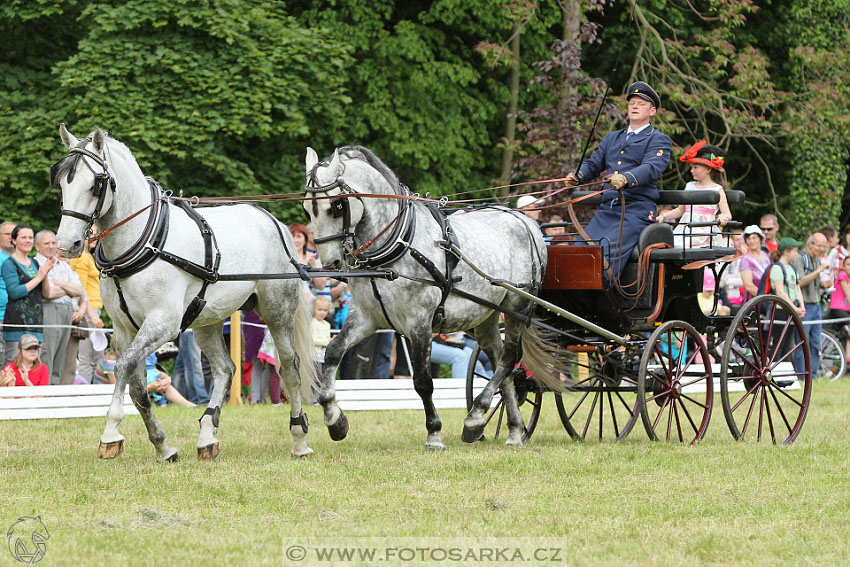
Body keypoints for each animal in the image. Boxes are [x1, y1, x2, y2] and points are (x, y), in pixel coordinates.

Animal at [53, 124, 318, 462]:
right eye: (62, 182)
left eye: (95, 185)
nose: (65, 245)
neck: (145, 239)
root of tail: (273, 222)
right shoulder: (125, 330)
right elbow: (137, 387)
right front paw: (162, 446)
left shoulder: (163, 324)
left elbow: (123, 367)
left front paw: (111, 432)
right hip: (207, 320)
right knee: (224, 369)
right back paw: (207, 436)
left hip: (277, 312)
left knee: (290, 368)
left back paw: (299, 439)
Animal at [302, 146, 548, 448]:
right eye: (307, 208)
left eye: (336, 206)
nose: (331, 263)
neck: (397, 244)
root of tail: (526, 221)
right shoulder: (367, 317)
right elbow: (333, 352)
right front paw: (334, 418)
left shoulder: (419, 323)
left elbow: (422, 381)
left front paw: (434, 432)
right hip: (486, 314)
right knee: (502, 361)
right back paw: (510, 429)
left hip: (518, 304)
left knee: (509, 357)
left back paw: (476, 415)